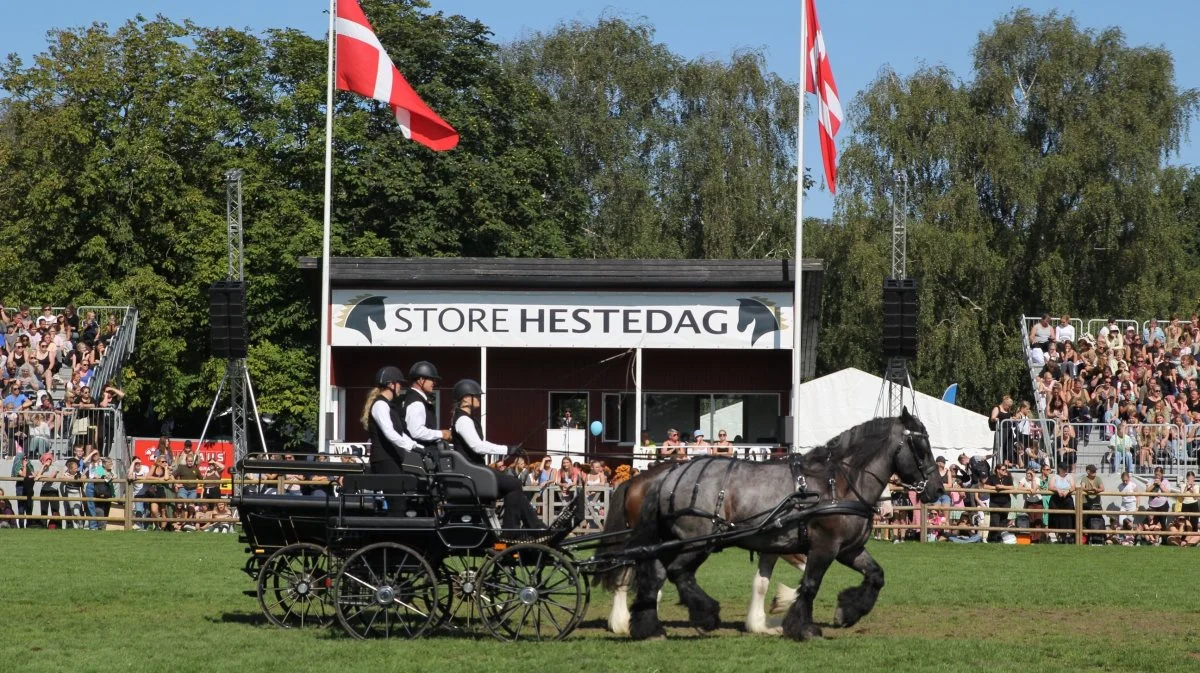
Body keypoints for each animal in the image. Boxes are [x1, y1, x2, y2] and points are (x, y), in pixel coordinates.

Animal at [597, 410, 936, 638]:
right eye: (921, 448)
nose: (935, 490)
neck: (838, 482)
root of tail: (664, 478)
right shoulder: (823, 546)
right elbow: (809, 584)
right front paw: (802, 626)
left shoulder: (847, 549)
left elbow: (876, 576)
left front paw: (846, 612)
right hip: (697, 541)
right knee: (674, 573)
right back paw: (703, 615)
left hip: (669, 542)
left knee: (653, 577)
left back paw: (648, 627)